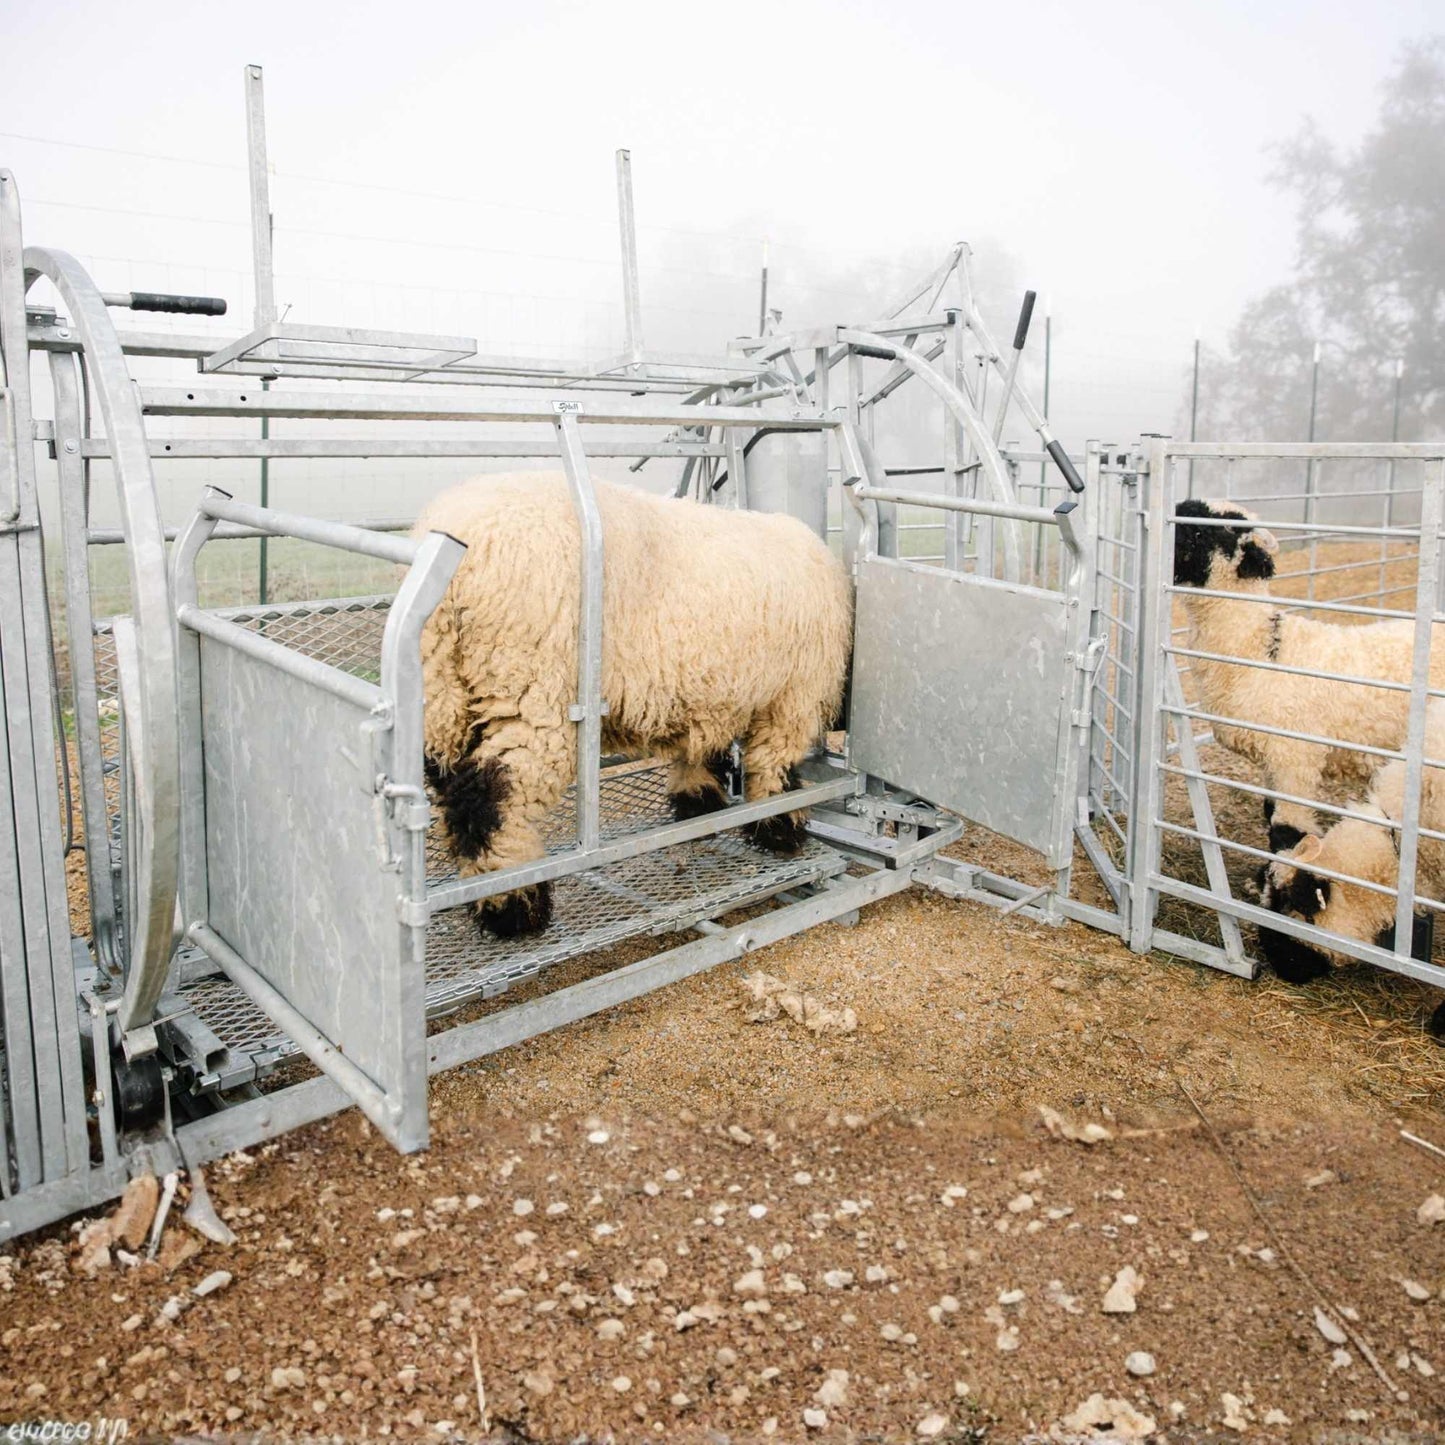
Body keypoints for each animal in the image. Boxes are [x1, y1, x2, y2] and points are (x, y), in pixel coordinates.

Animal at [414, 471, 852, 938]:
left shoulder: (710, 689)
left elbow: (702, 750)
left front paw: (698, 803)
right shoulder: (792, 696)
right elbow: (774, 766)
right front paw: (781, 827)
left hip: (443, 690)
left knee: (450, 784)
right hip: (528, 690)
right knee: (491, 796)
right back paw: (513, 903)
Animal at [1173, 497, 1445, 853]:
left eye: (1200, 531)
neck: (1259, 650)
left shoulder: (1295, 757)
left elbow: (1288, 831)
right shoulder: (1271, 761)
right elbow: (1269, 812)